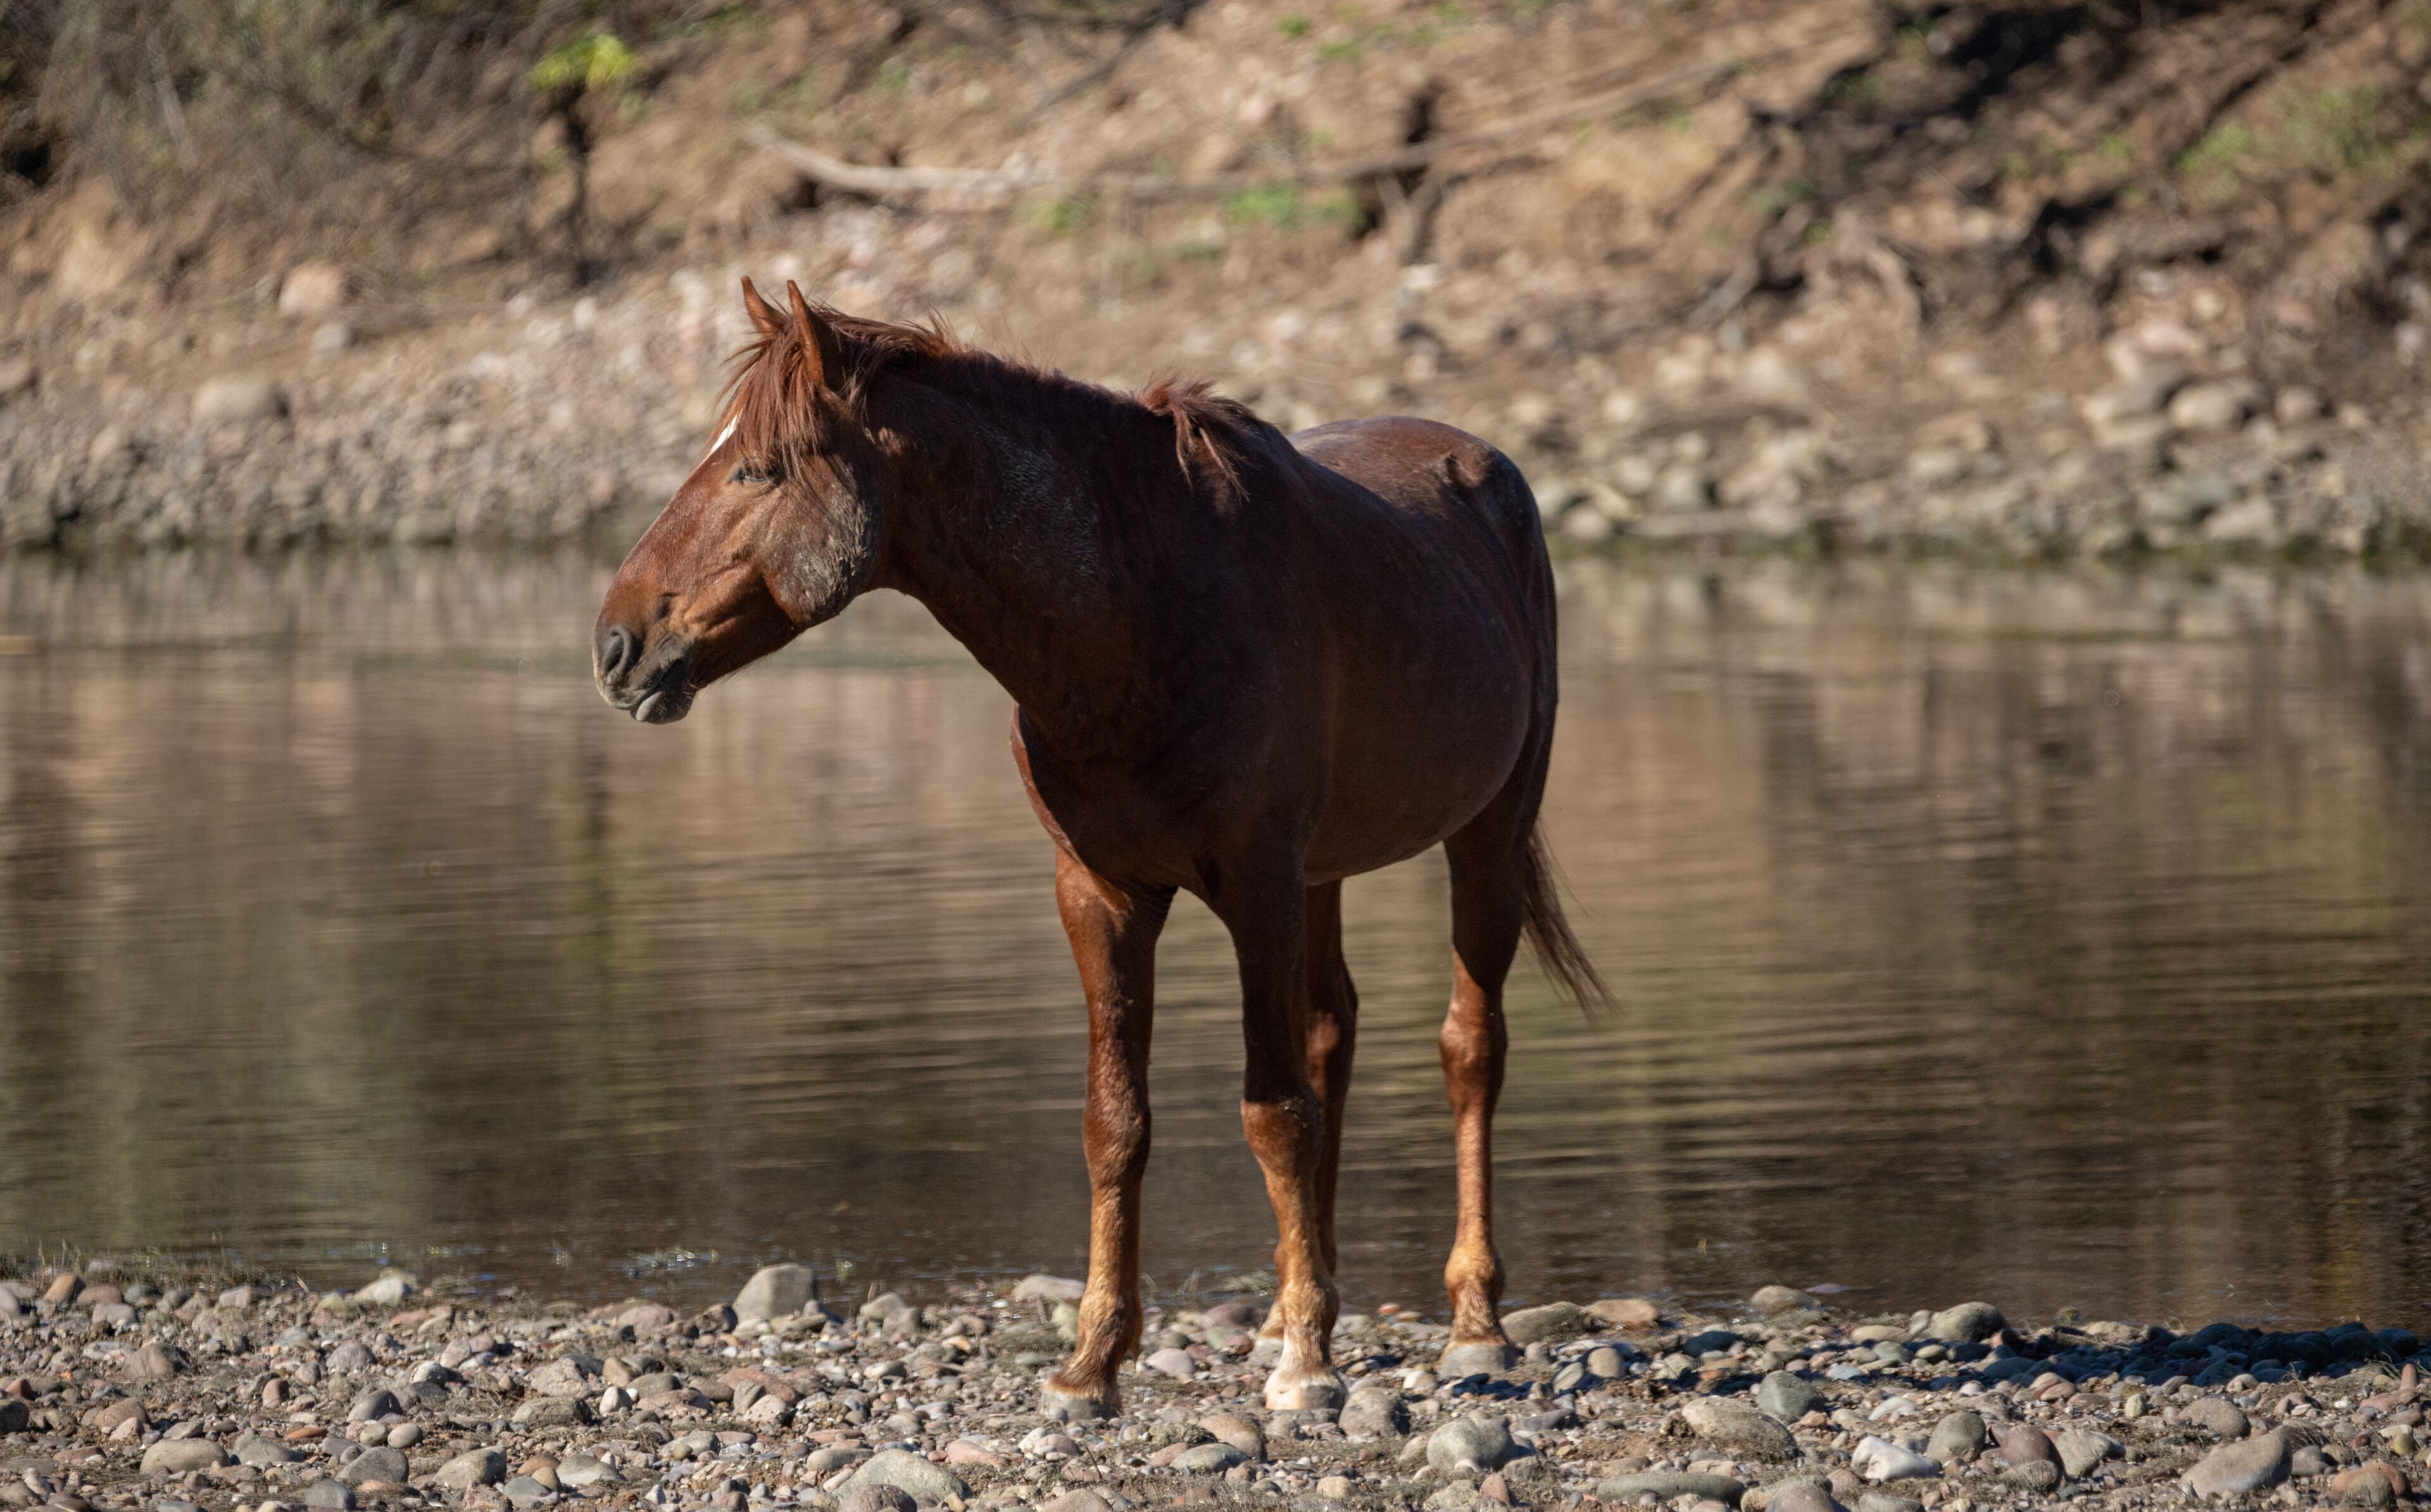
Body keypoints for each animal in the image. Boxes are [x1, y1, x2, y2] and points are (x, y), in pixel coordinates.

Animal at [593, 278, 1608, 1416]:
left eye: (758, 468)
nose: (615, 644)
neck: (1139, 612)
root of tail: (1485, 466)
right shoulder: (1101, 890)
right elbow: (1117, 1120)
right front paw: (1094, 1363)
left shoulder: (1256, 882)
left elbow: (1272, 1110)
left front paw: (1307, 1366)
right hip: (1328, 870)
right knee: (1331, 1033)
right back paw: (1284, 1307)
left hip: (1487, 834)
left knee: (1469, 1050)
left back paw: (1473, 1322)